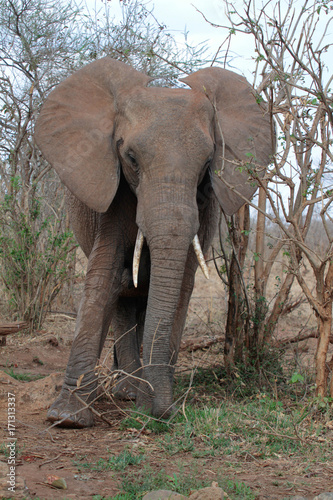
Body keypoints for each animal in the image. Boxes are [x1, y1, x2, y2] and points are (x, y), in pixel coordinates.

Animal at [34, 57, 272, 426]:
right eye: (131, 157)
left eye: (208, 162)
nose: (158, 412)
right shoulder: (113, 193)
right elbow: (103, 276)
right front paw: (67, 418)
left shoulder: (205, 204)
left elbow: (182, 284)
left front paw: (154, 404)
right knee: (123, 299)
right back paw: (127, 391)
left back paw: (133, 390)